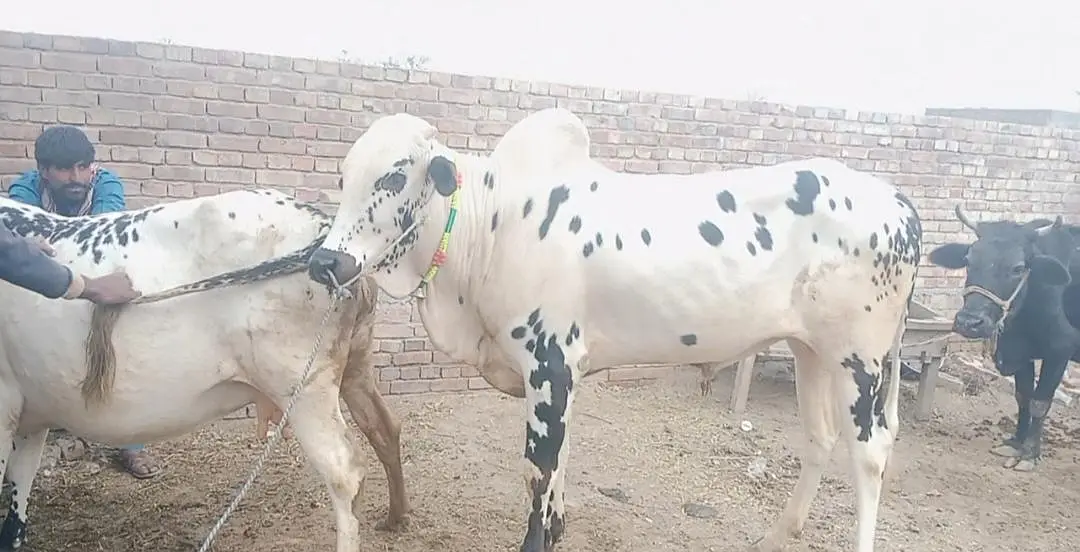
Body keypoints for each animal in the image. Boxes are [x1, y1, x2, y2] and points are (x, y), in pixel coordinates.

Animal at [0, 190, 409, 552]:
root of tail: (331, 240)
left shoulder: (6, 401)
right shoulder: (31, 408)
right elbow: (22, 476)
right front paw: (15, 536)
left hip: (304, 387)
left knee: (345, 472)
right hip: (354, 367)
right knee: (384, 428)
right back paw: (396, 518)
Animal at [306, 108, 921, 552]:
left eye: (393, 174)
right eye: (342, 175)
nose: (326, 263)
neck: (490, 224)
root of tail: (897, 201)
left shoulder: (549, 362)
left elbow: (538, 468)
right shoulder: (565, 373)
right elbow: (558, 465)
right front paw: (557, 528)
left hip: (860, 358)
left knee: (870, 453)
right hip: (810, 349)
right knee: (820, 437)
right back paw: (775, 536)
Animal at [927, 205, 1079, 472]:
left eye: (1018, 268)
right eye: (968, 261)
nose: (969, 322)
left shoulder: (1060, 350)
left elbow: (1040, 402)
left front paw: (1028, 454)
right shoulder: (1022, 354)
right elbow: (1023, 397)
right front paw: (1015, 443)